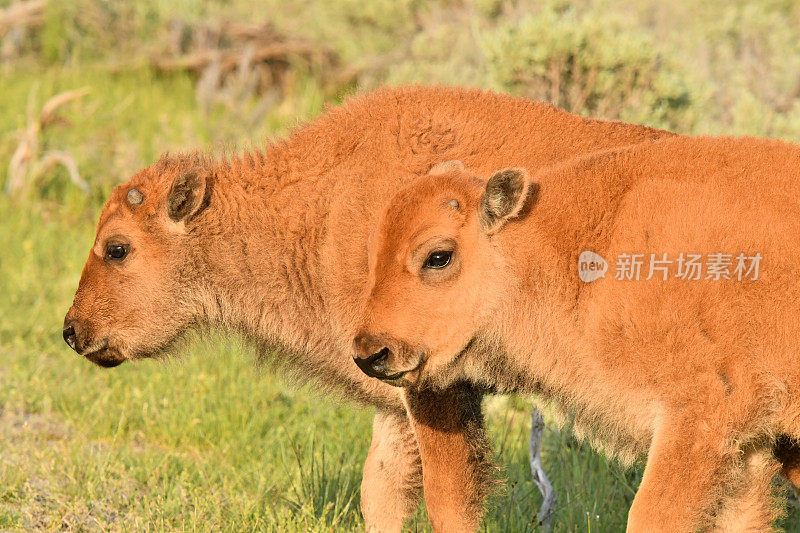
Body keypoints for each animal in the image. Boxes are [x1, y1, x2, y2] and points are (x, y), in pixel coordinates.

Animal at [62, 85, 676, 528]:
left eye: (117, 247)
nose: (72, 331)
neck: (326, 203)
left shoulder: (437, 389)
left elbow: (448, 500)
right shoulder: (394, 398)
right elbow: (380, 489)